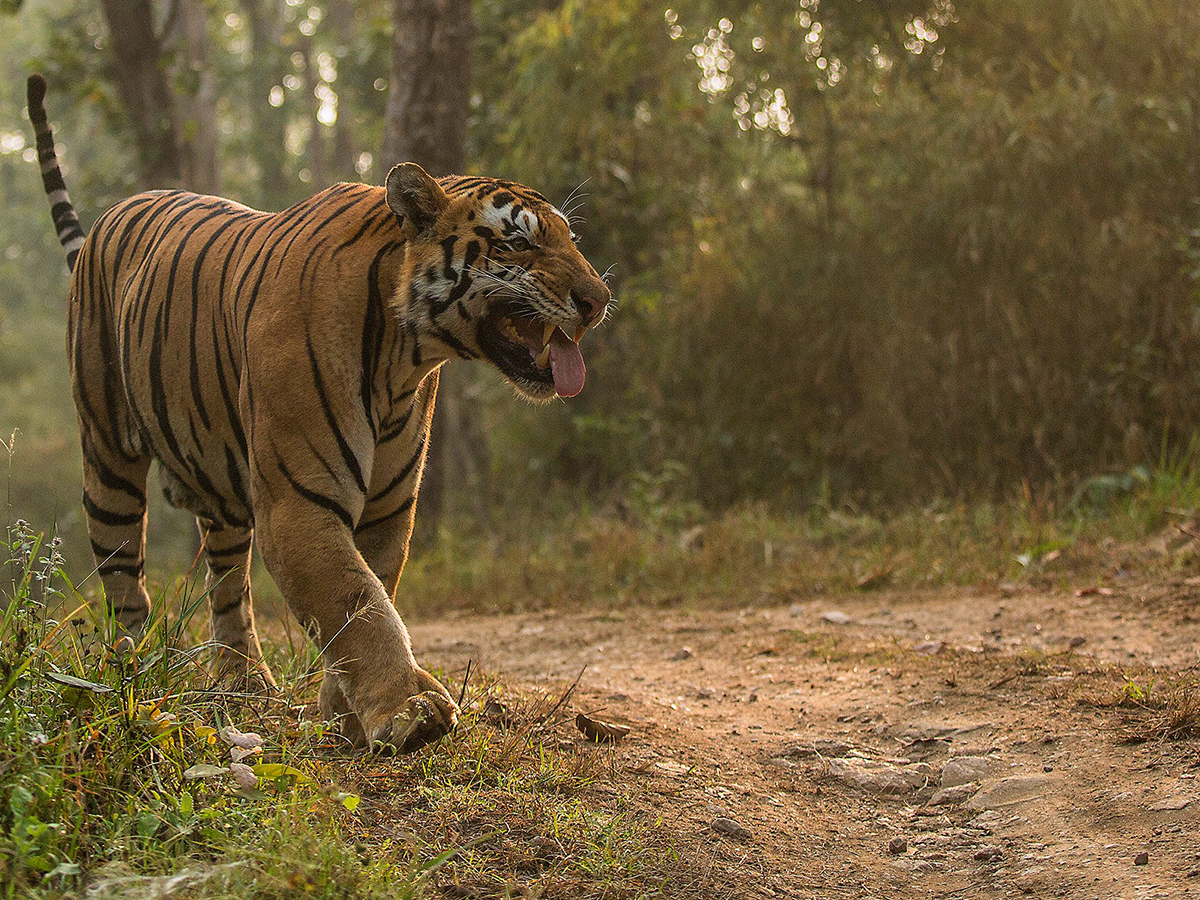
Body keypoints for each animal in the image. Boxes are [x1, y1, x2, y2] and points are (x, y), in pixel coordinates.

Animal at [28, 75, 609, 753]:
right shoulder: (299, 502)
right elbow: (355, 601)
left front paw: (347, 717)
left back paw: (244, 686)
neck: (404, 357)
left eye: (570, 238)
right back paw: (133, 679)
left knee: (229, 587)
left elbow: (370, 595)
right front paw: (407, 709)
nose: (598, 301)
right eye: (519, 241)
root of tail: (110, 215)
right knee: (124, 580)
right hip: (108, 458)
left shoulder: (388, 507)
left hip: (223, 494)